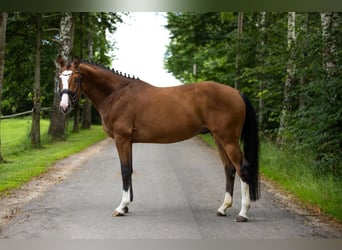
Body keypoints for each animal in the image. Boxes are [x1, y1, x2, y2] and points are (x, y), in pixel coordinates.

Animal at [56, 55, 260, 222]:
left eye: (76, 78)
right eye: (60, 79)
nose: (64, 107)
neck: (116, 94)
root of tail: (237, 93)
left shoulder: (122, 139)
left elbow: (124, 170)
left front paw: (121, 207)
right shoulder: (128, 141)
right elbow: (129, 169)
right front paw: (127, 206)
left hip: (228, 139)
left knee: (242, 168)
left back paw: (243, 213)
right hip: (218, 138)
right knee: (229, 169)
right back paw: (223, 208)